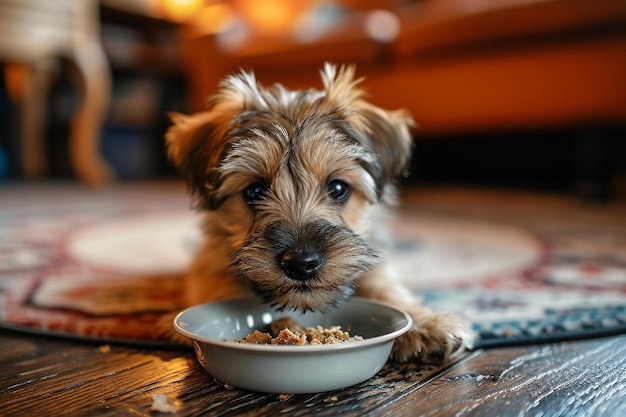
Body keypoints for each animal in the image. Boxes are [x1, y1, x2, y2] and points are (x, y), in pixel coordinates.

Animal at [163, 62, 470, 360]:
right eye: (254, 191)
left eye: (338, 188)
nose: (301, 264)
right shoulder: (210, 264)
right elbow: (219, 287)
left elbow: (385, 286)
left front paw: (424, 324)